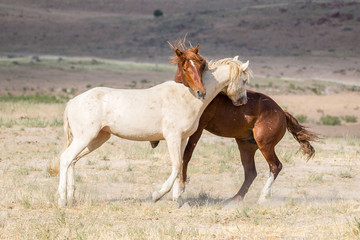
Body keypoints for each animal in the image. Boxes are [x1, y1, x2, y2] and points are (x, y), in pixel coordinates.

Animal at [48, 56, 250, 206]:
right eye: (244, 80)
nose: (243, 102)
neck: (188, 96)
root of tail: (72, 101)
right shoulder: (173, 137)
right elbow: (176, 166)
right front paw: (157, 195)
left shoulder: (182, 139)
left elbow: (180, 165)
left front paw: (177, 200)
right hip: (85, 138)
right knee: (66, 159)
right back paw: (62, 200)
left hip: (96, 139)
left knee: (72, 161)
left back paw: (71, 197)